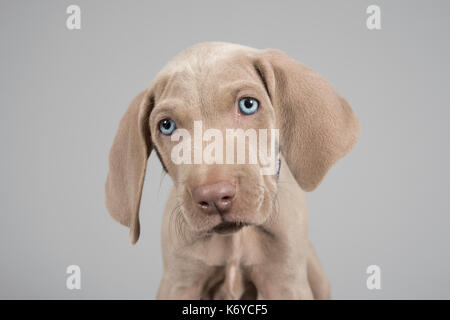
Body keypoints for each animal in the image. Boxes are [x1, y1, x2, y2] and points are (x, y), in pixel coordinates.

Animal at [104, 42, 358, 300]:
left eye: (248, 104)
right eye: (167, 126)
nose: (214, 197)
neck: (236, 239)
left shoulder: (285, 281)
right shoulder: (180, 282)